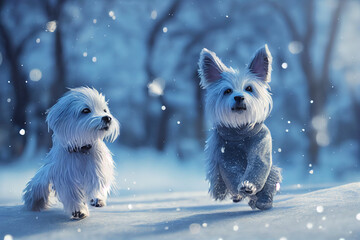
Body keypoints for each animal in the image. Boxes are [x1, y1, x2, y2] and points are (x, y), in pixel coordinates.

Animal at [23, 86, 120, 219]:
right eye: (86, 110)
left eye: (104, 110)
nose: (107, 118)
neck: (82, 149)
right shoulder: (65, 176)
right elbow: (72, 195)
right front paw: (79, 210)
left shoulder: (98, 168)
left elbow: (98, 183)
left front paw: (97, 199)